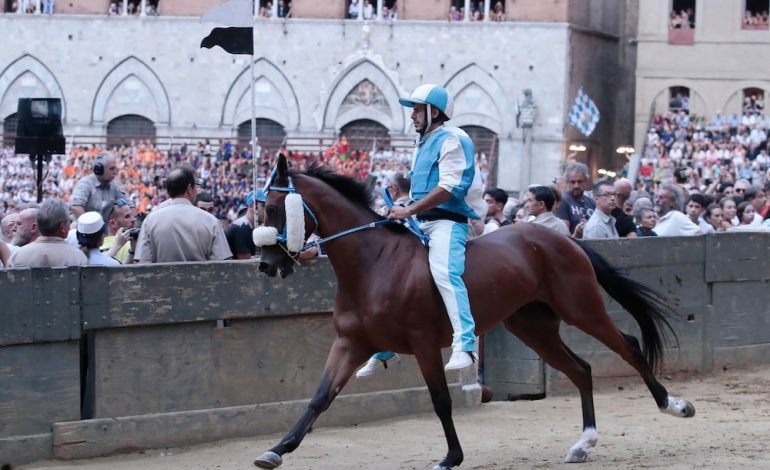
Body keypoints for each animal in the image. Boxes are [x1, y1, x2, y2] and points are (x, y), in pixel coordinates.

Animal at [254, 155, 696, 470]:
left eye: (275, 208)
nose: (267, 264)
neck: (374, 263)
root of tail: (560, 238)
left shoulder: (424, 345)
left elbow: (441, 401)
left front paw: (451, 457)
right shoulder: (351, 343)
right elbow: (319, 398)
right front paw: (277, 449)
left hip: (581, 308)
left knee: (629, 346)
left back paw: (673, 405)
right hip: (532, 326)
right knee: (581, 369)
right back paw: (584, 442)